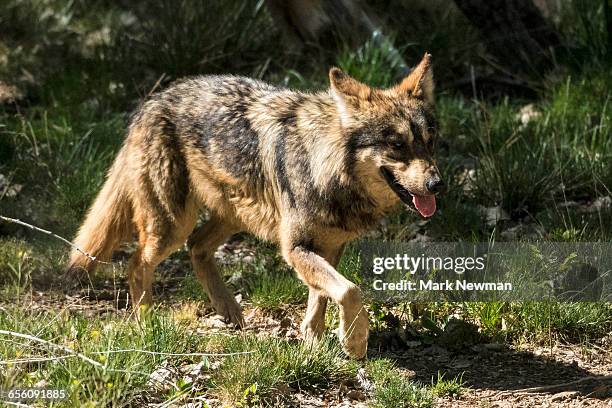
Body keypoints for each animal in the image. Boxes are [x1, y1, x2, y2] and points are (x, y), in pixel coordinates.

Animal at [67, 53, 442, 356]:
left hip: (232, 217)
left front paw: (313, 342)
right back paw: (146, 322)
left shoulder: (329, 247)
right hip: (172, 226)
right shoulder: (294, 249)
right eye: (397, 144)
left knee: (196, 247)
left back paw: (228, 309)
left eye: (429, 141)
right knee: (136, 264)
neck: (325, 166)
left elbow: (320, 299)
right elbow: (350, 291)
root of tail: (153, 101)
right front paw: (354, 342)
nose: (437, 185)